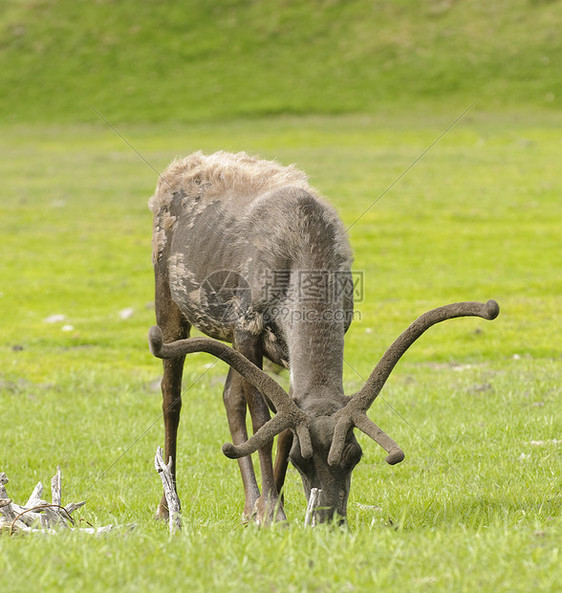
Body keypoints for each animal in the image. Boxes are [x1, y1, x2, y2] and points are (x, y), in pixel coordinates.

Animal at [147, 151, 496, 524]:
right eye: (302, 460)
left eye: (355, 454)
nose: (328, 519)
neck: (303, 248)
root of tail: (180, 166)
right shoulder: (247, 326)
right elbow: (262, 421)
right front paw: (272, 512)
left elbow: (282, 424)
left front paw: (272, 505)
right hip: (169, 301)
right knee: (172, 398)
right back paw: (169, 507)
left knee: (230, 396)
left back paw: (248, 506)